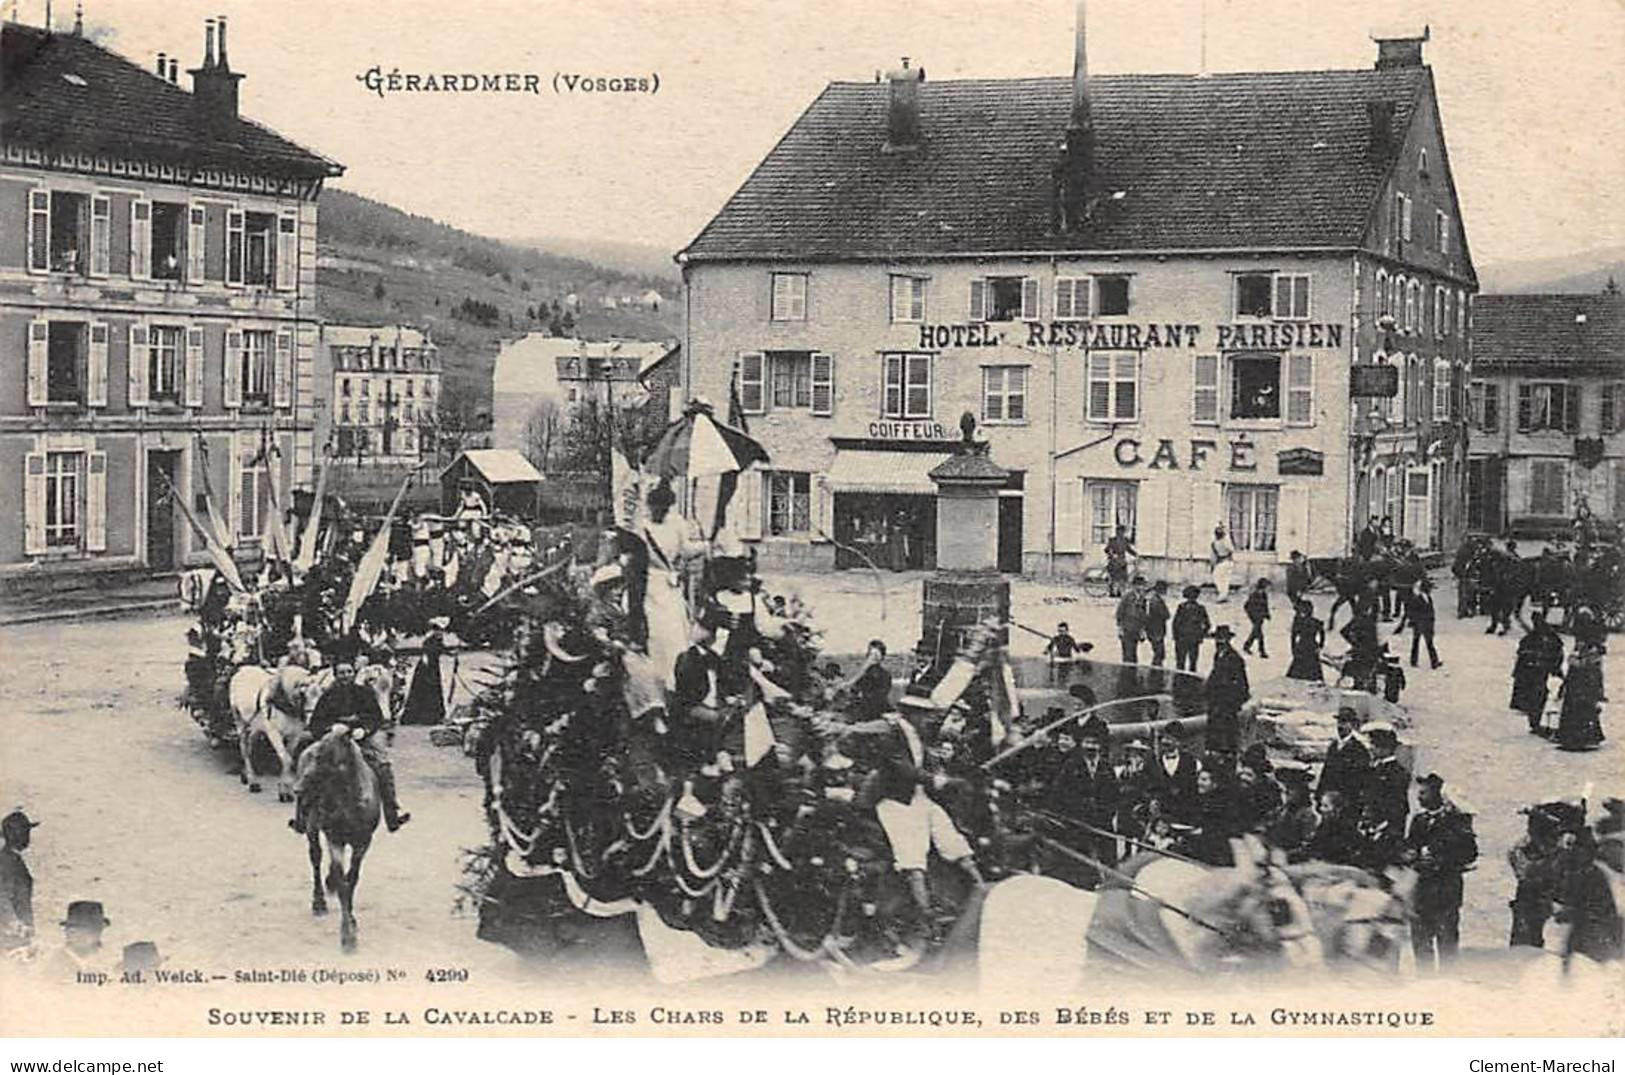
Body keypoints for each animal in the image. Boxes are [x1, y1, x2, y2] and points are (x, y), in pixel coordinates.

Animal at [302, 727, 383, 954]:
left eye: (324, 755)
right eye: (315, 755)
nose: (299, 788)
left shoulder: (363, 842)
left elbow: (351, 879)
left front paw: (352, 923)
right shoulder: (335, 839)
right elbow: (342, 882)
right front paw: (348, 936)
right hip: (312, 827)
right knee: (316, 857)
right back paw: (319, 902)